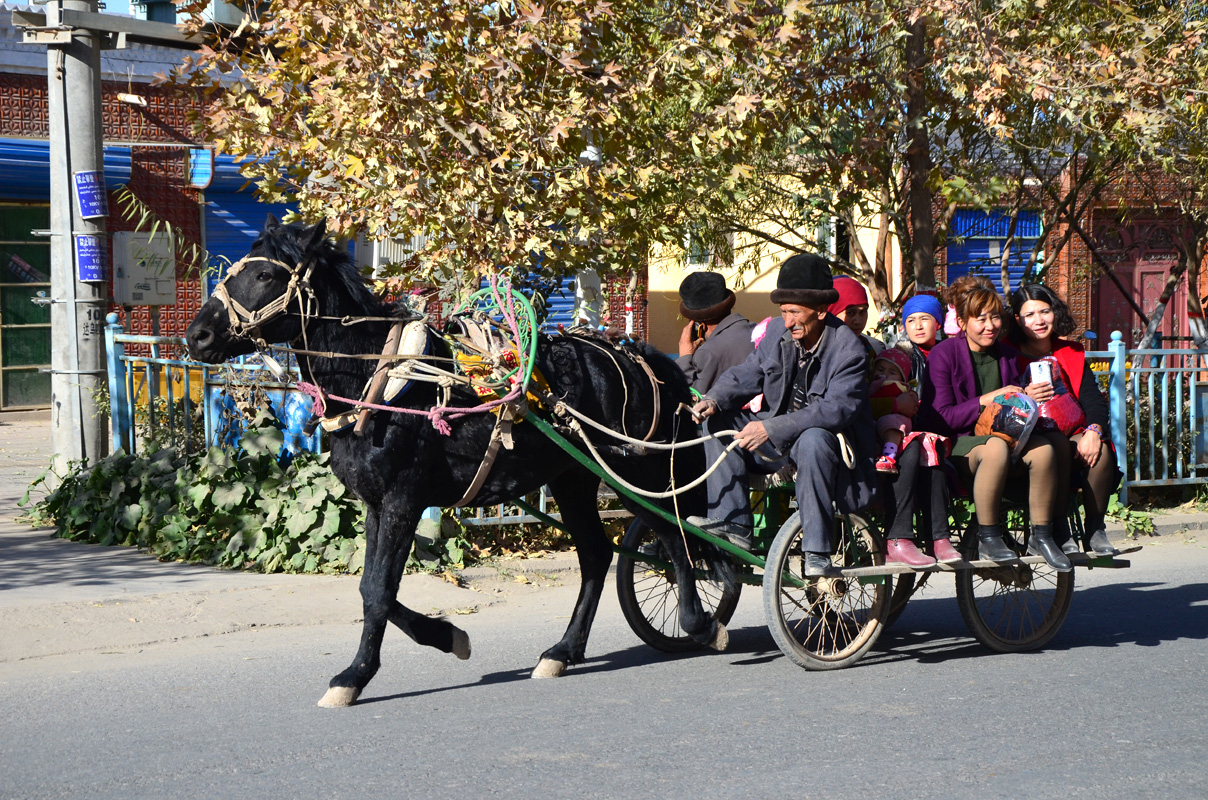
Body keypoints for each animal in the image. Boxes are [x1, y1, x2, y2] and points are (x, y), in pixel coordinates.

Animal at [184, 219, 729, 710]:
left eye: (265, 275)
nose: (198, 335)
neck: (379, 382)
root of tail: (642, 355)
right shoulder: (377, 505)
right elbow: (371, 589)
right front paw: (444, 638)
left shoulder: (403, 501)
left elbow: (378, 591)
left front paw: (356, 676)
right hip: (573, 479)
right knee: (597, 554)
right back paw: (564, 651)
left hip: (637, 472)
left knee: (675, 535)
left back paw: (701, 624)